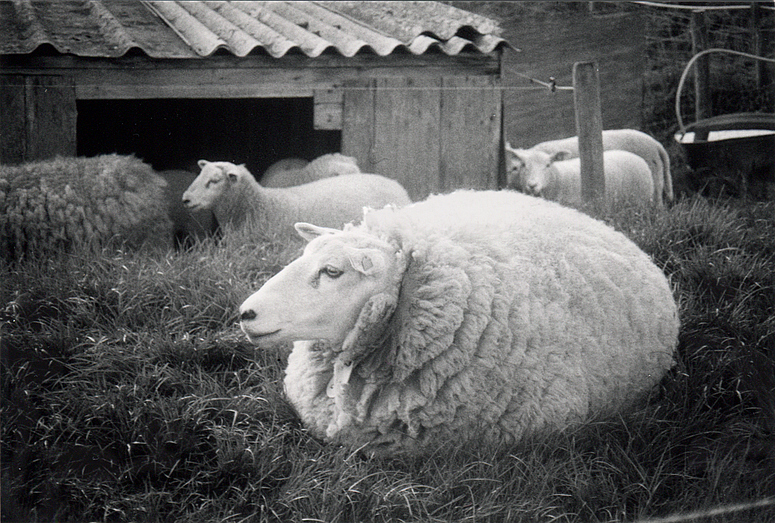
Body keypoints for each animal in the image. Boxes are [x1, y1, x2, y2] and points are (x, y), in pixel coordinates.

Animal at [506, 146, 656, 208]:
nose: (532, 185)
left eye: (548, 165)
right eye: (523, 165)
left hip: (642, 201)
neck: (558, 177)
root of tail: (637, 157)